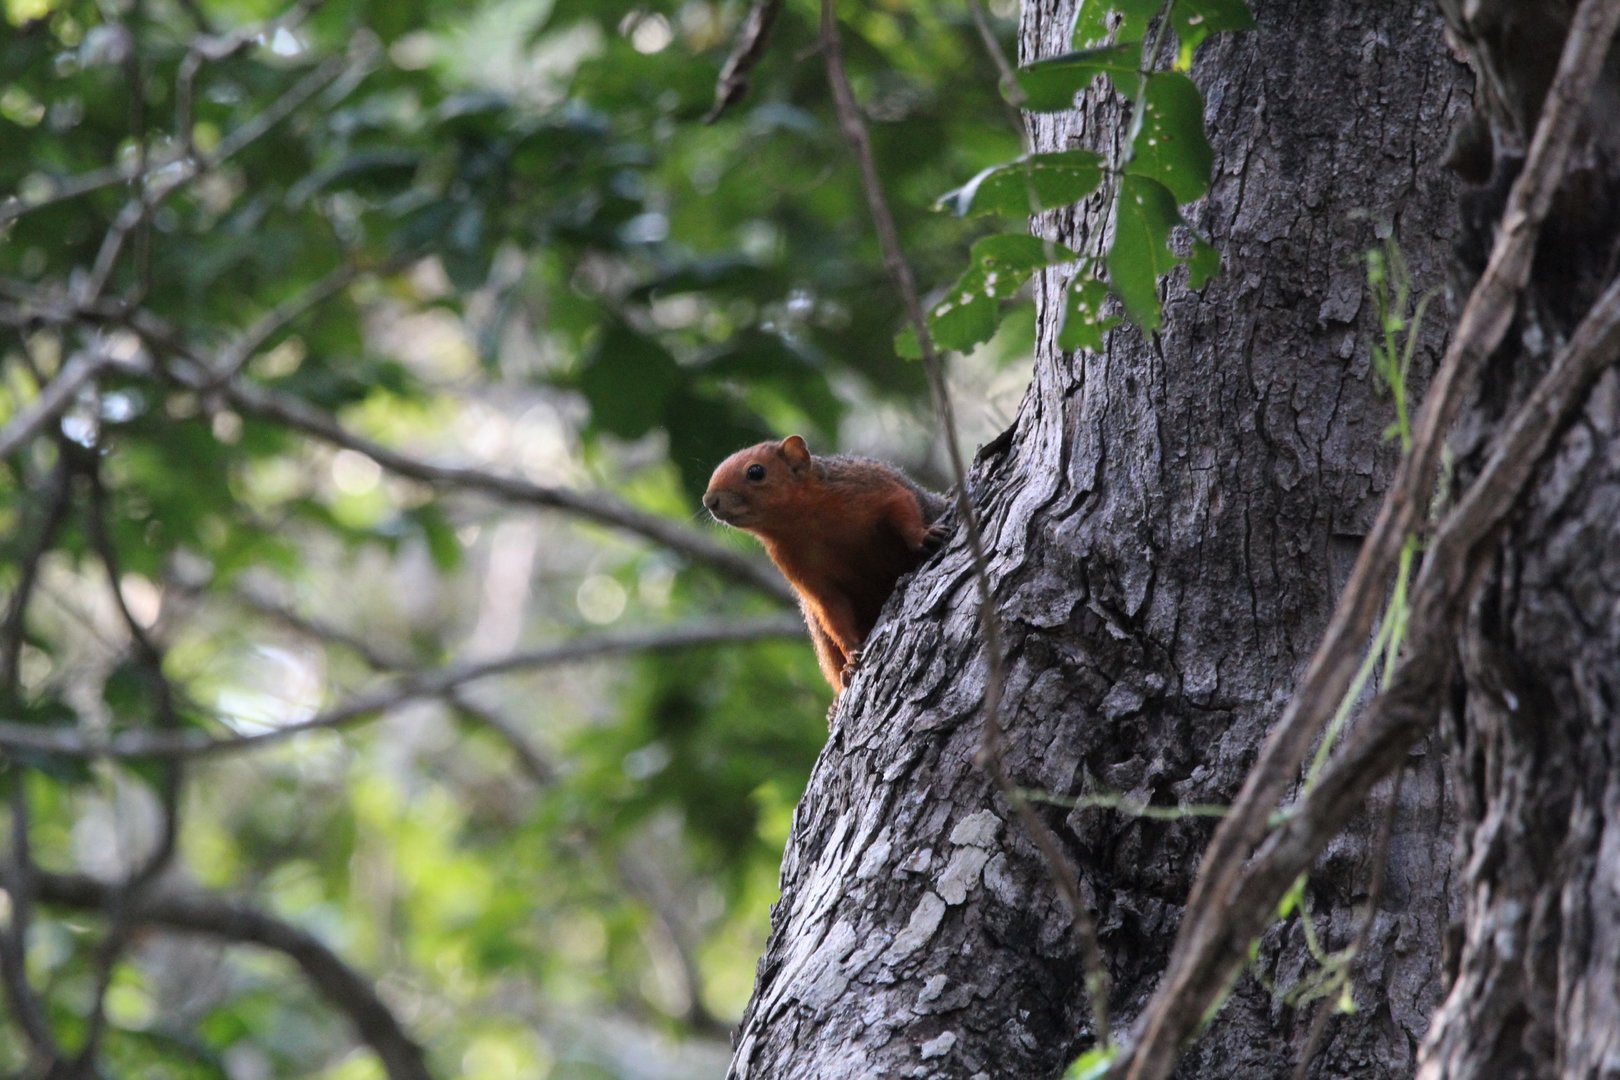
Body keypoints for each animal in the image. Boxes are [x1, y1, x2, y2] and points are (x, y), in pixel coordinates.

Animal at [704, 435, 951, 693]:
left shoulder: (867, 486)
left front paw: (922, 536)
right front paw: (851, 655)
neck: (803, 521)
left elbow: (901, 504)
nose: (709, 501)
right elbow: (832, 611)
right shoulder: (799, 568)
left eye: (755, 471)